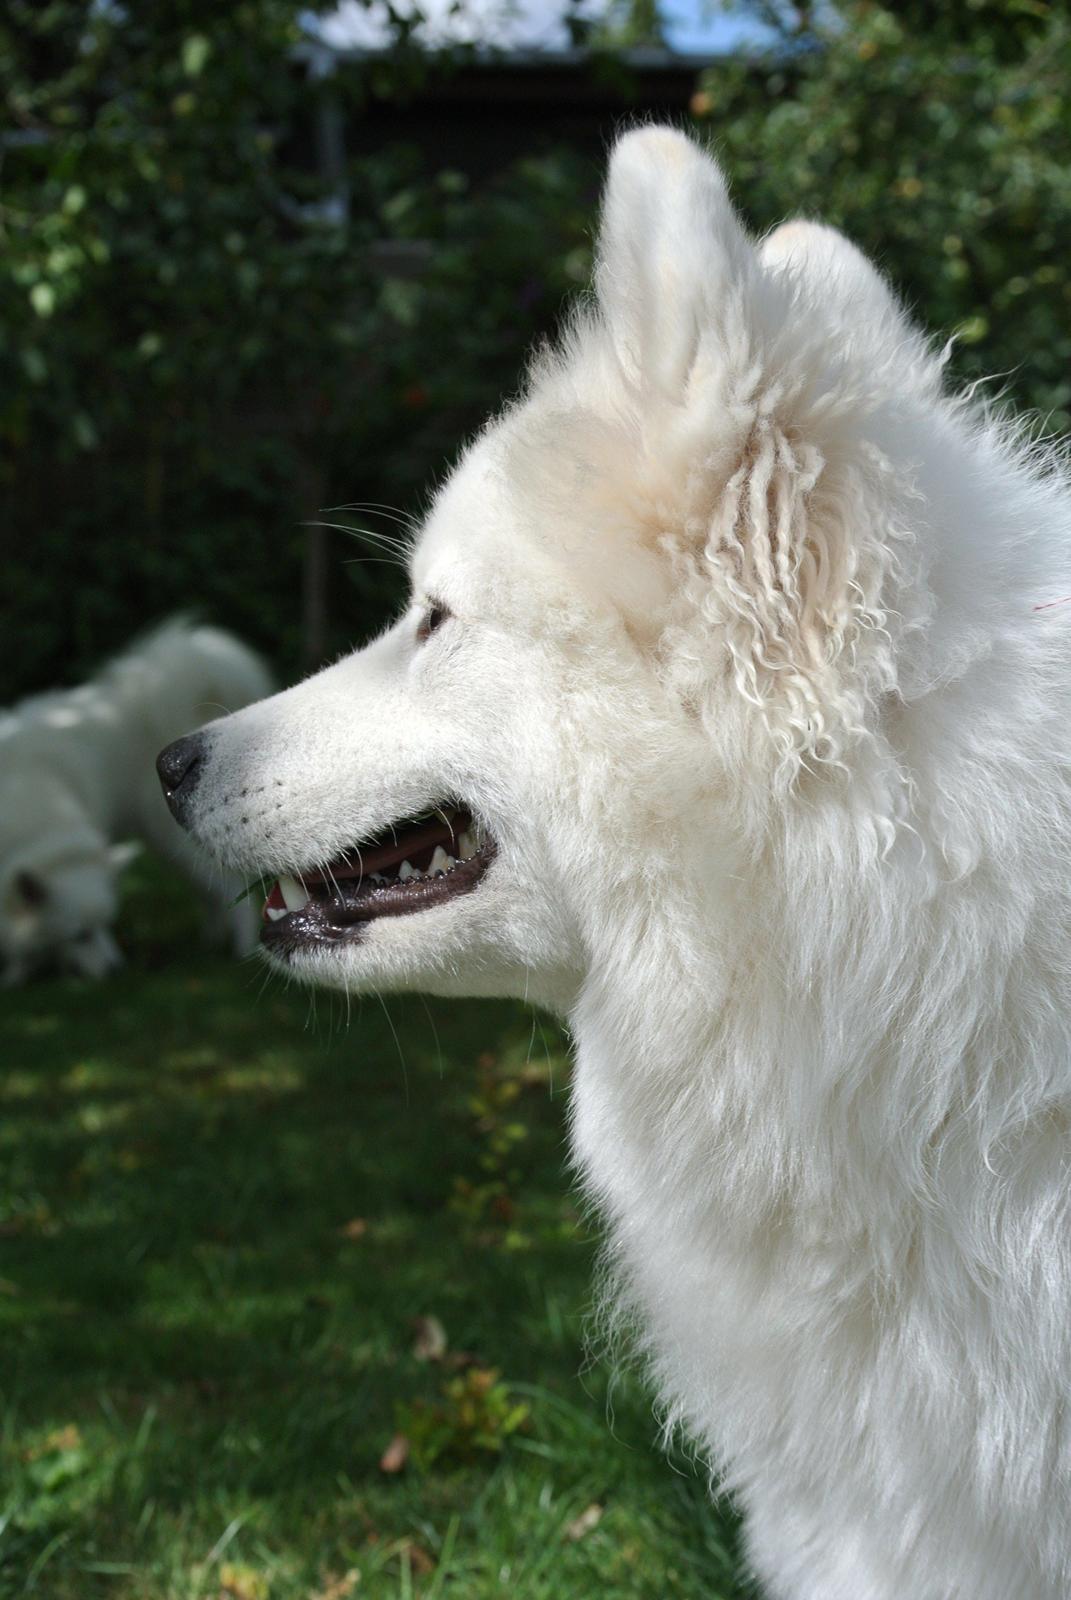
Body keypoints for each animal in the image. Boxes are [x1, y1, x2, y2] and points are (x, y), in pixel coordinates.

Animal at [1, 617, 272, 979]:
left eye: (105, 925)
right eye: (80, 936)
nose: (117, 971)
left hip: (174, 839)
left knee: (228, 891)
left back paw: (240, 952)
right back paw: (210, 941)